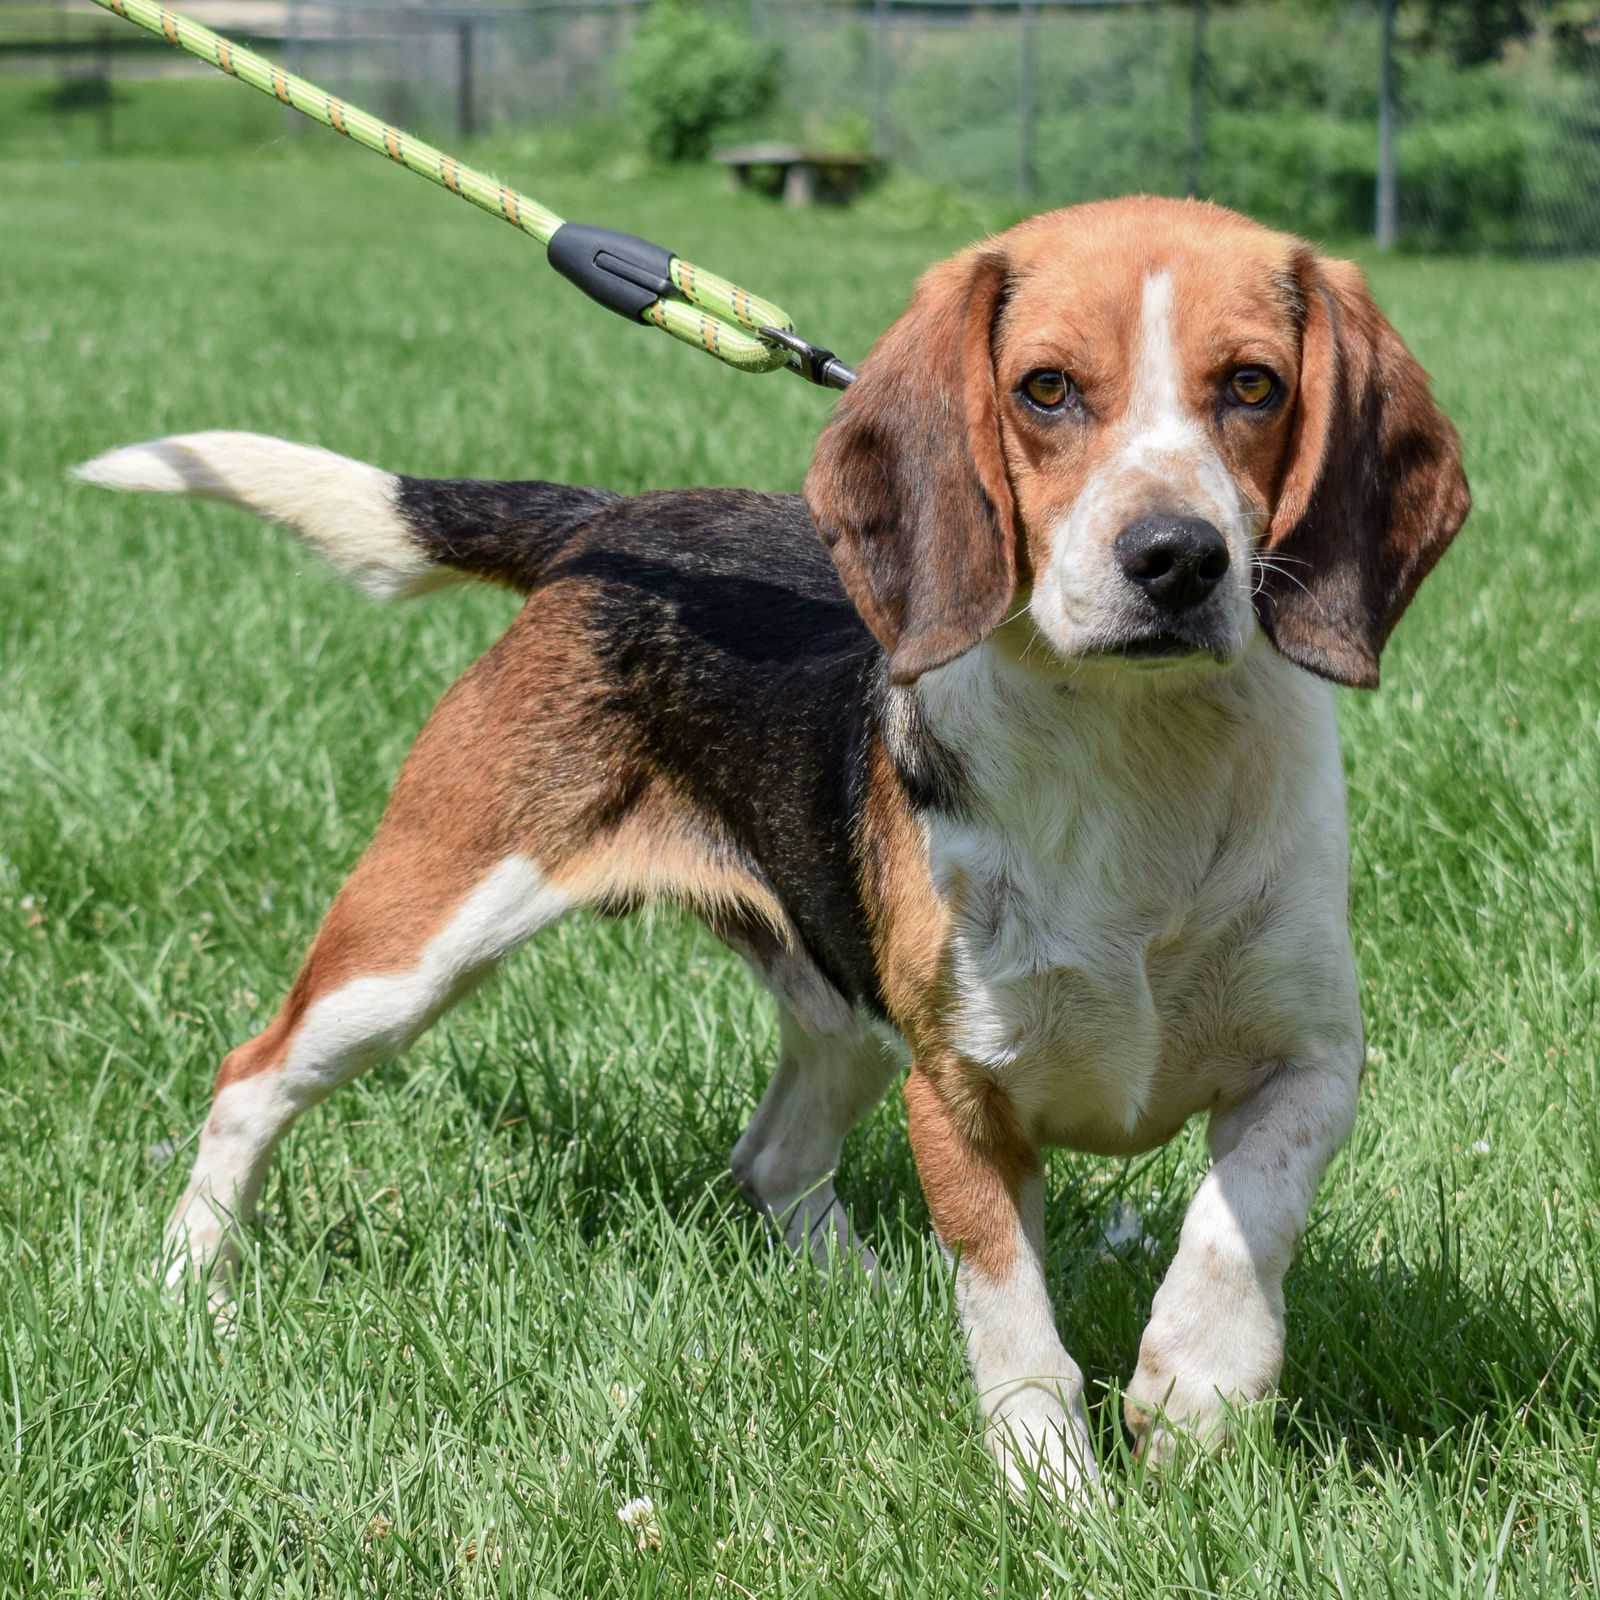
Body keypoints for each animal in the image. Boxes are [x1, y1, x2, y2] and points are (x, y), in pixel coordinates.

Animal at [81, 193, 1465, 1491]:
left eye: (1254, 386)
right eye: (1046, 389)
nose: (1176, 557)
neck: (1135, 751)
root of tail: (608, 522)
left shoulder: (1311, 1058)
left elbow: (1242, 1222)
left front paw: (1198, 1385)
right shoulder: (956, 1089)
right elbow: (1013, 1319)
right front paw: (1052, 1490)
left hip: (844, 1006)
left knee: (773, 1158)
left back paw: (869, 1294)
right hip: (416, 942)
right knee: (250, 1078)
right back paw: (192, 1293)